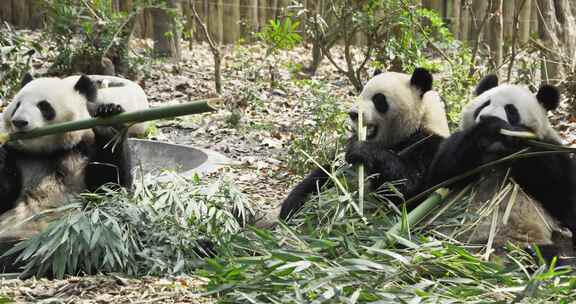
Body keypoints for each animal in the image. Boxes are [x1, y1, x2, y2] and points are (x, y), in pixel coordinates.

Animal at [280, 68, 450, 221]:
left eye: (379, 99)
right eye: (361, 93)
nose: (354, 114)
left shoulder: (429, 146)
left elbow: (405, 188)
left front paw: (360, 150)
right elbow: (325, 173)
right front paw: (291, 206)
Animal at [428, 74, 576, 262]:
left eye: (511, 111)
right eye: (484, 104)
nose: (486, 117)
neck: (496, 154)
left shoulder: (551, 149)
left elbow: (561, 192)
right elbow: (440, 174)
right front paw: (486, 129)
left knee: (555, 256)